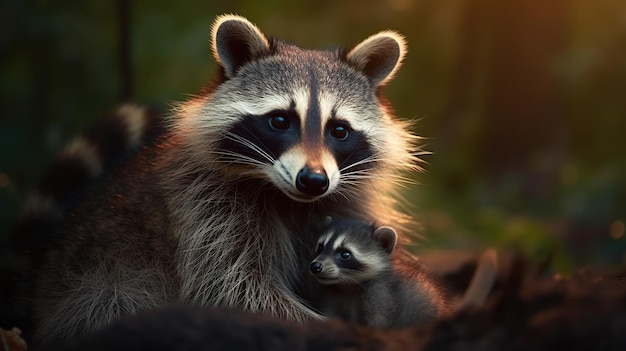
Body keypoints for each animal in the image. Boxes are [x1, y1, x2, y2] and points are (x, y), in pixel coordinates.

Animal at [15, 15, 420, 342]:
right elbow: (235, 290)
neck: (289, 197)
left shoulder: (343, 198)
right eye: (279, 120)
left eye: (339, 130)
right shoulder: (204, 207)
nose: (313, 180)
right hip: (98, 287)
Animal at [308, 219, 448, 328]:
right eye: (320, 247)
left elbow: (379, 320)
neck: (349, 285)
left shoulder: (382, 292)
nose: (315, 266)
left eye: (345, 254)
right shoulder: (334, 295)